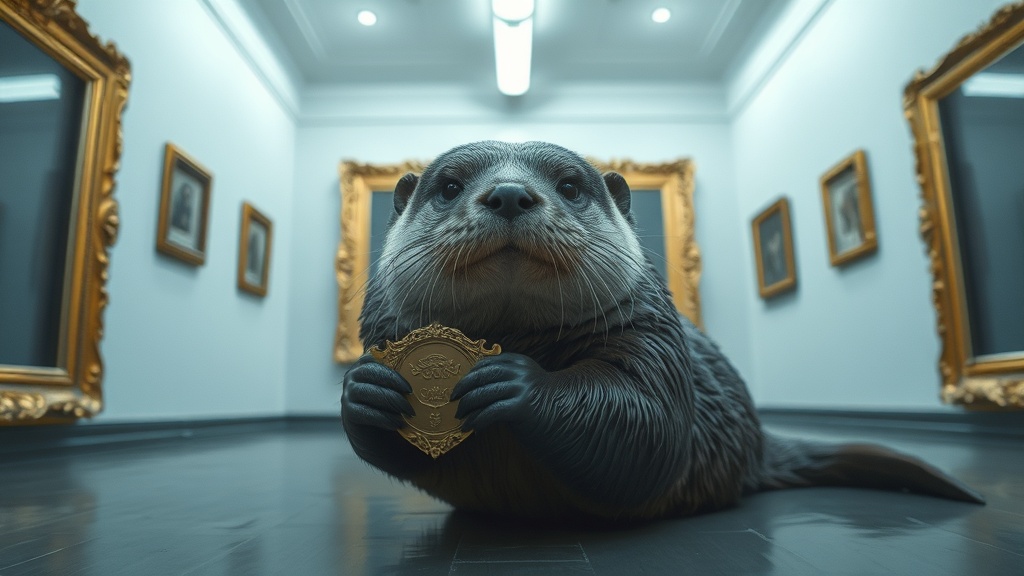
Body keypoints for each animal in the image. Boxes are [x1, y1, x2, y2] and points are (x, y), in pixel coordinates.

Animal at [341, 140, 983, 521]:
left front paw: (518, 384)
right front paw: (368, 390)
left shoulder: (652, 339)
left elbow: (644, 426)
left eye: (569, 185)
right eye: (449, 185)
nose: (508, 193)